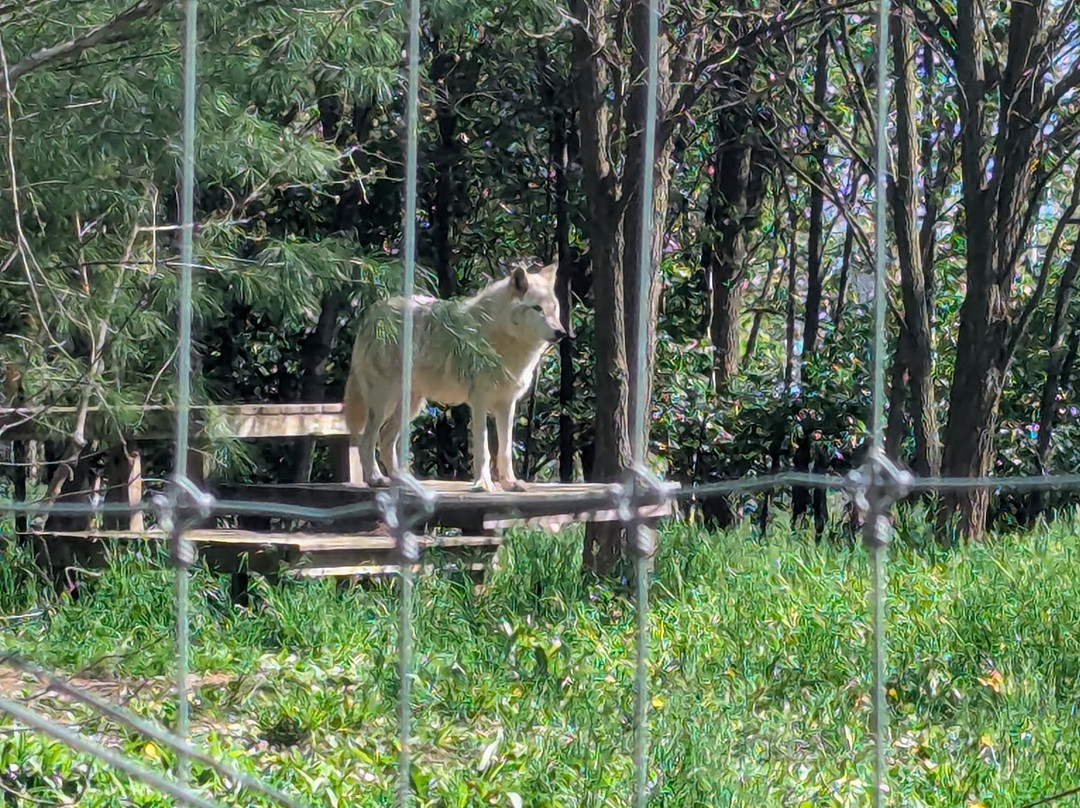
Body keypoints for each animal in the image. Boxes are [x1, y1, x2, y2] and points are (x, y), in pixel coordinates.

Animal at [343, 261, 567, 492]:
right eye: (537, 309)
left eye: (554, 308)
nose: (561, 333)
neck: (503, 339)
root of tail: (373, 312)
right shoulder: (479, 401)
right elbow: (484, 450)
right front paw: (483, 484)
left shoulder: (506, 404)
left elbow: (505, 450)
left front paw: (510, 483)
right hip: (384, 402)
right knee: (367, 440)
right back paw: (375, 479)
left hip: (411, 407)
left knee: (386, 439)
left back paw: (406, 483)